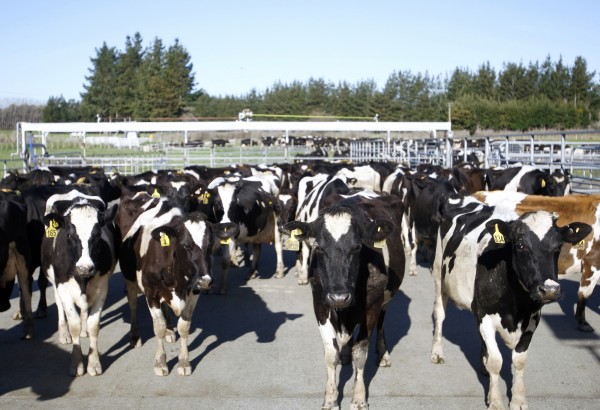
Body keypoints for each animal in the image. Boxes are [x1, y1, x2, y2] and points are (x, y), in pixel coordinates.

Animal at [40, 192, 118, 374]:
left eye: (97, 235)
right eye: (69, 235)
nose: (85, 267)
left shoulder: (102, 287)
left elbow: (93, 324)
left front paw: (94, 363)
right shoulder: (62, 286)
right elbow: (73, 323)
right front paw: (77, 364)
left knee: (83, 309)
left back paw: (84, 331)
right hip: (54, 282)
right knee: (60, 306)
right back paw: (64, 334)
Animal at [115, 191, 237, 376]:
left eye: (210, 245)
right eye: (186, 245)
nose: (205, 281)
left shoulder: (194, 291)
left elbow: (184, 327)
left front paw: (184, 362)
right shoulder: (151, 292)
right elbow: (157, 327)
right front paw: (160, 363)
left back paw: (169, 330)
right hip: (129, 278)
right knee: (133, 303)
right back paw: (135, 335)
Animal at [282, 192, 406, 410]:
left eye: (357, 247)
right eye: (319, 248)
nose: (339, 297)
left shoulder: (372, 305)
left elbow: (361, 352)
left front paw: (359, 398)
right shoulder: (320, 303)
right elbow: (331, 353)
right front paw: (331, 399)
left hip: (385, 297)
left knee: (382, 321)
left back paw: (383, 354)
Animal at [474, 192, 600, 334]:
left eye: (560, 246)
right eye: (521, 245)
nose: (550, 290)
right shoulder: (593, 261)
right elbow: (584, 294)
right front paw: (583, 323)